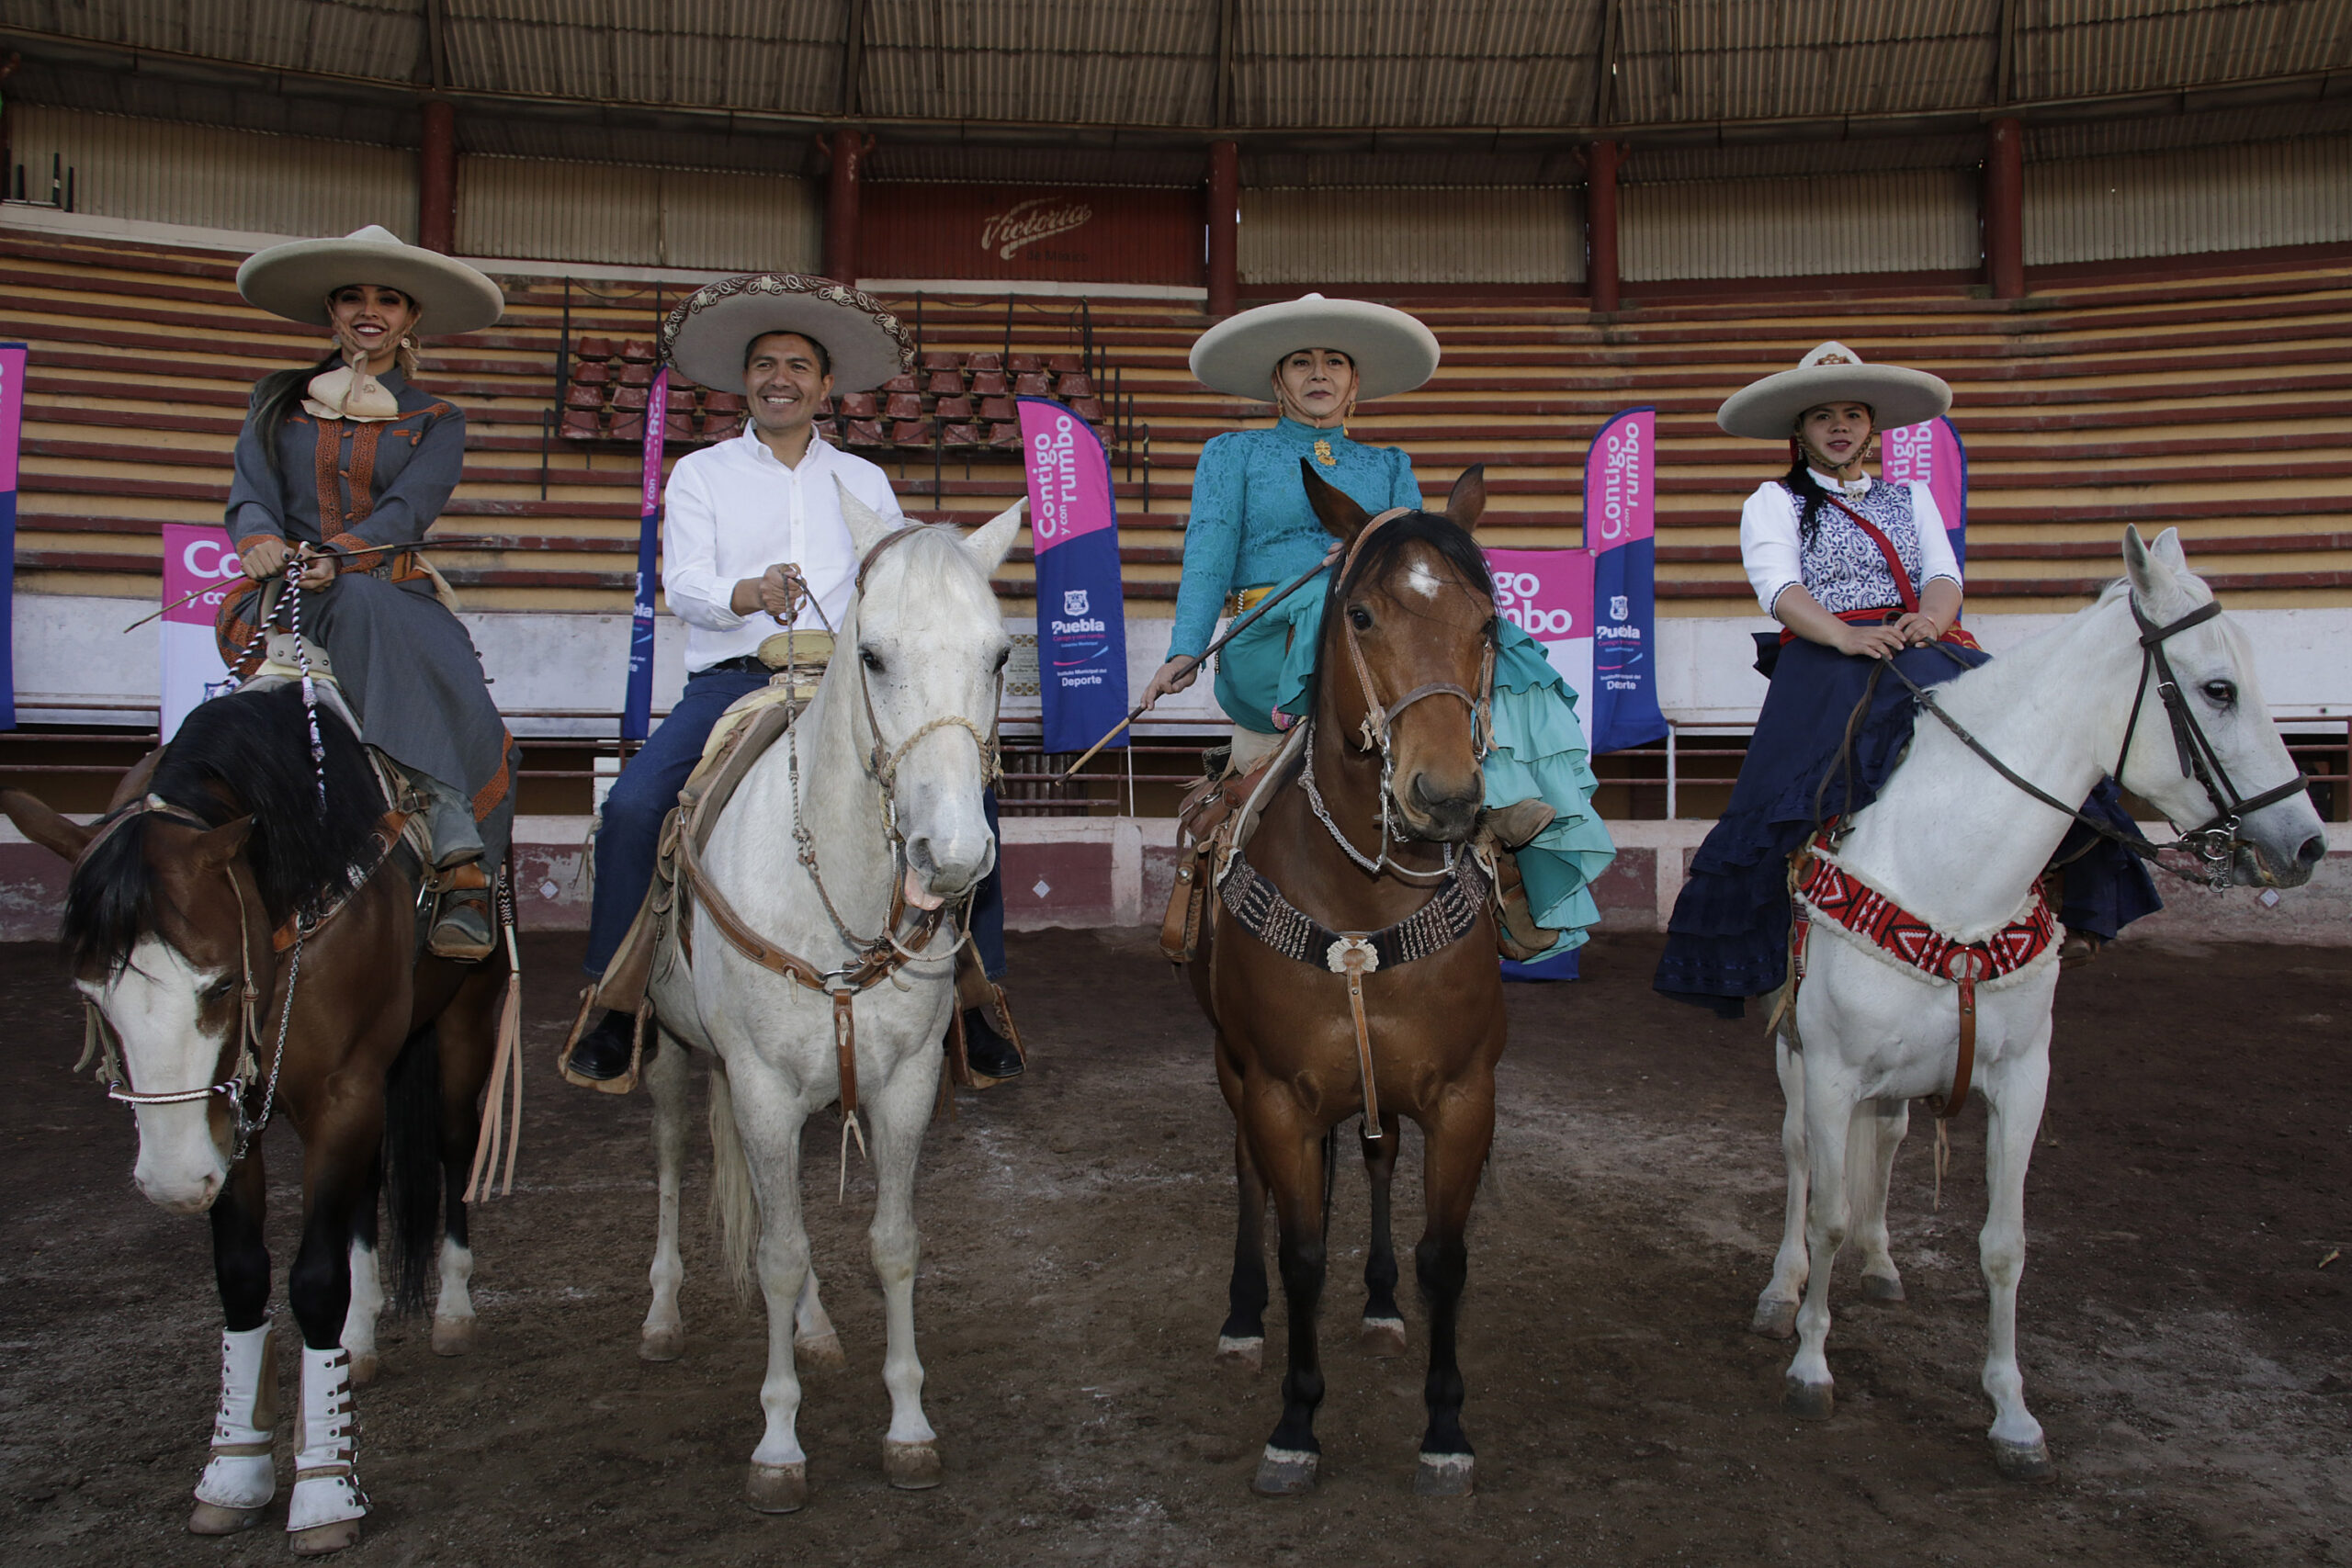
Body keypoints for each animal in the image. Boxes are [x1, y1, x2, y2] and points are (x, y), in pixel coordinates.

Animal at [6, 686, 505, 1561]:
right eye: (92, 994)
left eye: (216, 984)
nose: (172, 1182)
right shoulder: (230, 1111)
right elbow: (244, 1277)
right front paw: (234, 1470)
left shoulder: (342, 1090)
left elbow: (313, 1279)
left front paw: (325, 1488)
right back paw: (360, 1341)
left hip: (462, 1025)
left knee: (450, 1149)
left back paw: (450, 1309)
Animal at [635, 493, 1021, 1523]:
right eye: (874, 655)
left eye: (1000, 653)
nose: (952, 854)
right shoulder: (762, 1090)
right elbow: (775, 1251)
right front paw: (778, 1445)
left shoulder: (906, 1087)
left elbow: (890, 1245)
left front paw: (909, 1426)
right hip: (672, 1054)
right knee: (671, 1162)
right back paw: (661, 1313)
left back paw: (814, 1328)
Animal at [1194, 463, 1505, 1495]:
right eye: (1362, 615)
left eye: (1489, 622)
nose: (1442, 797)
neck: (1361, 907)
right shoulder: (1278, 1094)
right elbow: (1299, 1251)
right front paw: (1295, 1424)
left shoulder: (1463, 1094)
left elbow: (1444, 1256)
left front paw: (1446, 1428)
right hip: (1232, 1070)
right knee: (1247, 1175)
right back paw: (1241, 1317)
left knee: (1373, 1157)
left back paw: (1377, 1303)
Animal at [1758, 526, 2324, 1485]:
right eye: (2218, 688)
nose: (2309, 843)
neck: (1954, 873)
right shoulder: (1831, 1067)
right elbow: (1826, 1205)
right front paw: (1808, 1362)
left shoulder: (2024, 1081)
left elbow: (2004, 1246)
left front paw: (2013, 1416)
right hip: (1794, 1049)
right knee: (1802, 1157)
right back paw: (1782, 1286)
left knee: (1889, 1139)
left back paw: (1882, 1260)